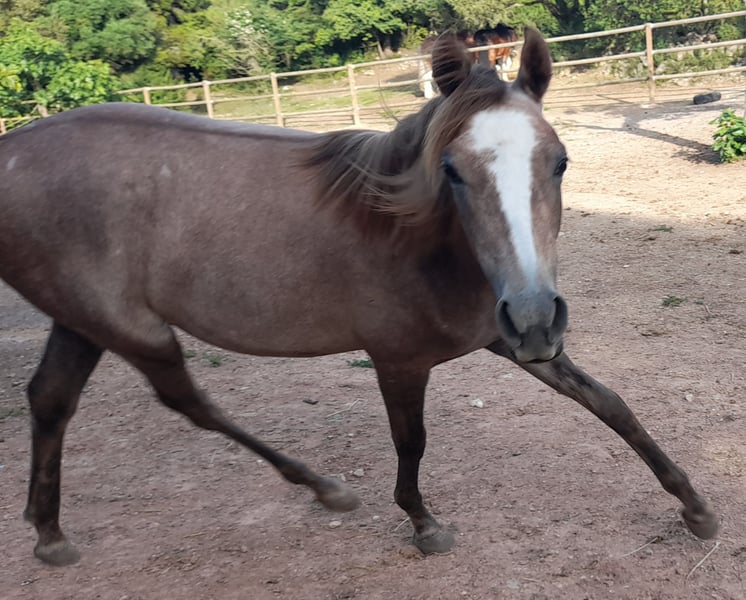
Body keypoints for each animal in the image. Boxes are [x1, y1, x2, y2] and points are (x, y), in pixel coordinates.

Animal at [0, 29, 717, 567]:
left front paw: (697, 508)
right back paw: (325, 489)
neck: (413, 237)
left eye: (560, 161)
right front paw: (425, 525)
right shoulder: (398, 359)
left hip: (81, 323)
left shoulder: (504, 338)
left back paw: (50, 535)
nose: (538, 315)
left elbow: (610, 405)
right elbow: (411, 441)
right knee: (187, 401)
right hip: (131, 329)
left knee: (51, 399)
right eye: (453, 170)